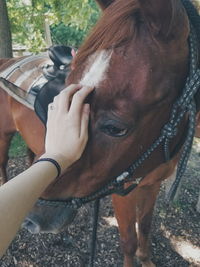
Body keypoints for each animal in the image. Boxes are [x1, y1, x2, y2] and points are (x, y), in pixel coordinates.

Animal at [0, 0, 200, 267]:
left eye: (115, 128)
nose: (31, 217)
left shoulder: (152, 185)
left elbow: (146, 226)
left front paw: (146, 259)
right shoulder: (122, 192)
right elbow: (129, 240)